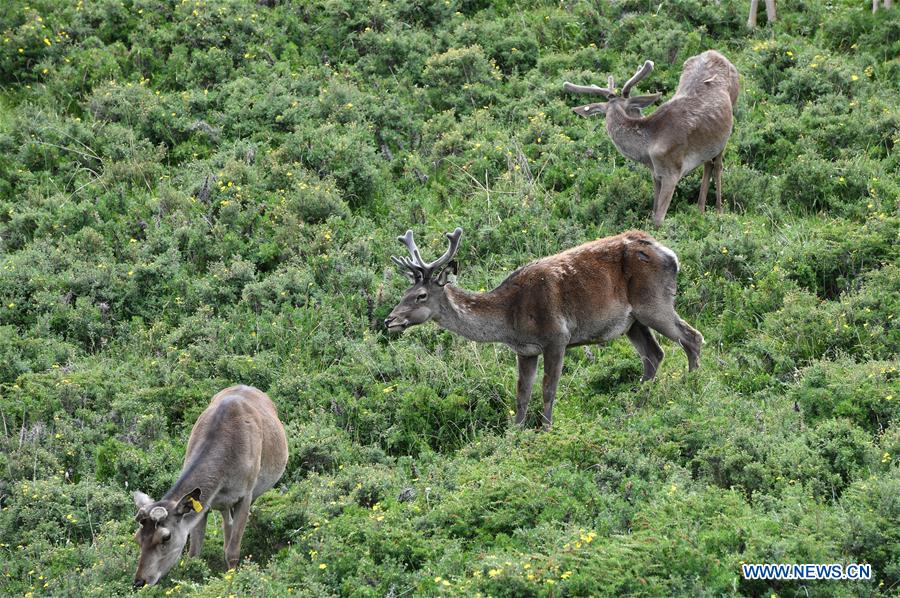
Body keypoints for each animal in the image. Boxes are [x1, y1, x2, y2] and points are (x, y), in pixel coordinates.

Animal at [131, 385, 288, 588]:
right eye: (137, 537)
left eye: (166, 536)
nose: (139, 581)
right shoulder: (203, 505)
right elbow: (194, 554)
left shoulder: (246, 494)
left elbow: (233, 551)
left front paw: (230, 582)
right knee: (226, 522)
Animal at [384, 227, 703, 430]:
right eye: (403, 293)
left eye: (420, 296)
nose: (390, 320)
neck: (511, 318)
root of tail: (671, 255)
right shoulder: (526, 350)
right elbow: (522, 393)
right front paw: (515, 431)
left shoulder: (556, 337)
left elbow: (549, 389)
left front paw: (546, 429)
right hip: (632, 322)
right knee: (654, 355)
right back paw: (637, 399)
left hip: (653, 303)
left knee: (692, 337)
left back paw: (693, 386)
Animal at [564, 50, 739, 226]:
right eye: (636, 109)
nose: (641, 115)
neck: (649, 150)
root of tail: (715, 53)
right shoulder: (655, 174)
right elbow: (653, 212)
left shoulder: (672, 172)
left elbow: (658, 219)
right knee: (708, 163)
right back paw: (700, 210)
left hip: (731, 112)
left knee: (717, 165)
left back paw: (718, 211)